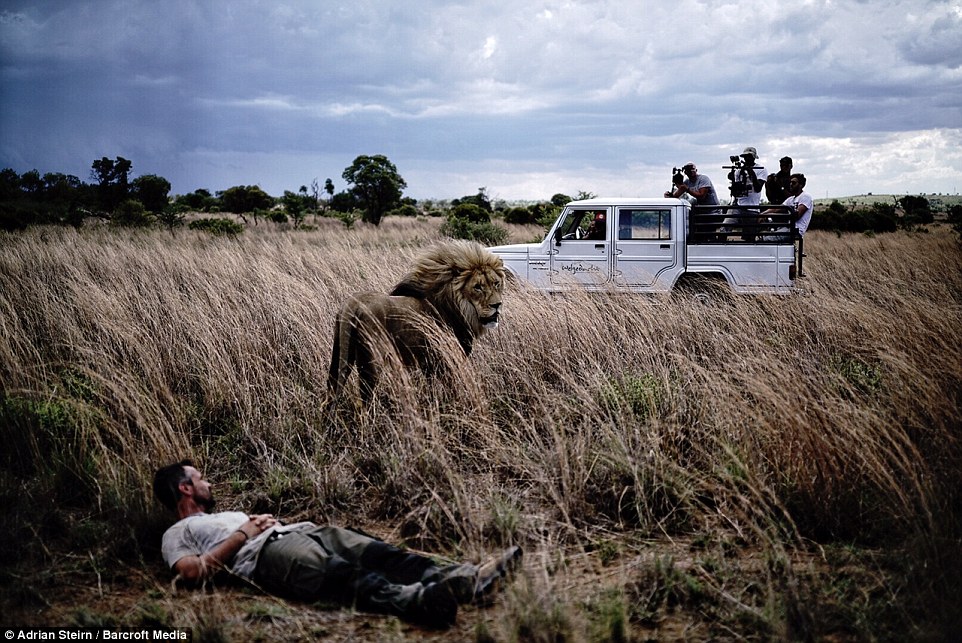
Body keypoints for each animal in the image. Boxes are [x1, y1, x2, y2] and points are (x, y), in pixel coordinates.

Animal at [326, 240, 506, 398]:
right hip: (371, 362)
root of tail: (352, 304)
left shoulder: (429, 364)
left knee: (332, 388)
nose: (497, 305)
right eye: (477, 287)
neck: (458, 308)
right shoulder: (446, 361)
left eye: (496, 283)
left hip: (339, 355)